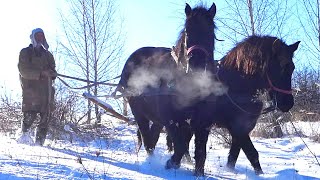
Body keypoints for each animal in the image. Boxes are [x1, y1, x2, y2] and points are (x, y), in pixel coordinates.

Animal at [113, 2, 218, 176]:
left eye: (211, 31)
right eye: (187, 30)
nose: (196, 63)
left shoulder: (202, 122)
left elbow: (200, 152)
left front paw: (198, 173)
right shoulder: (170, 118)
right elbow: (180, 146)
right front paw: (171, 163)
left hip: (156, 119)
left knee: (153, 137)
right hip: (139, 112)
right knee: (147, 140)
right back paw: (151, 162)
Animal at [188, 35, 300, 176]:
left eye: (292, 68)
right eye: (279, 68)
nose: (287, 103)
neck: (233, 86)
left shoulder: (242, 128)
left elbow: (233, 156)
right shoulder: (236, 128)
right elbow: (252, 154)